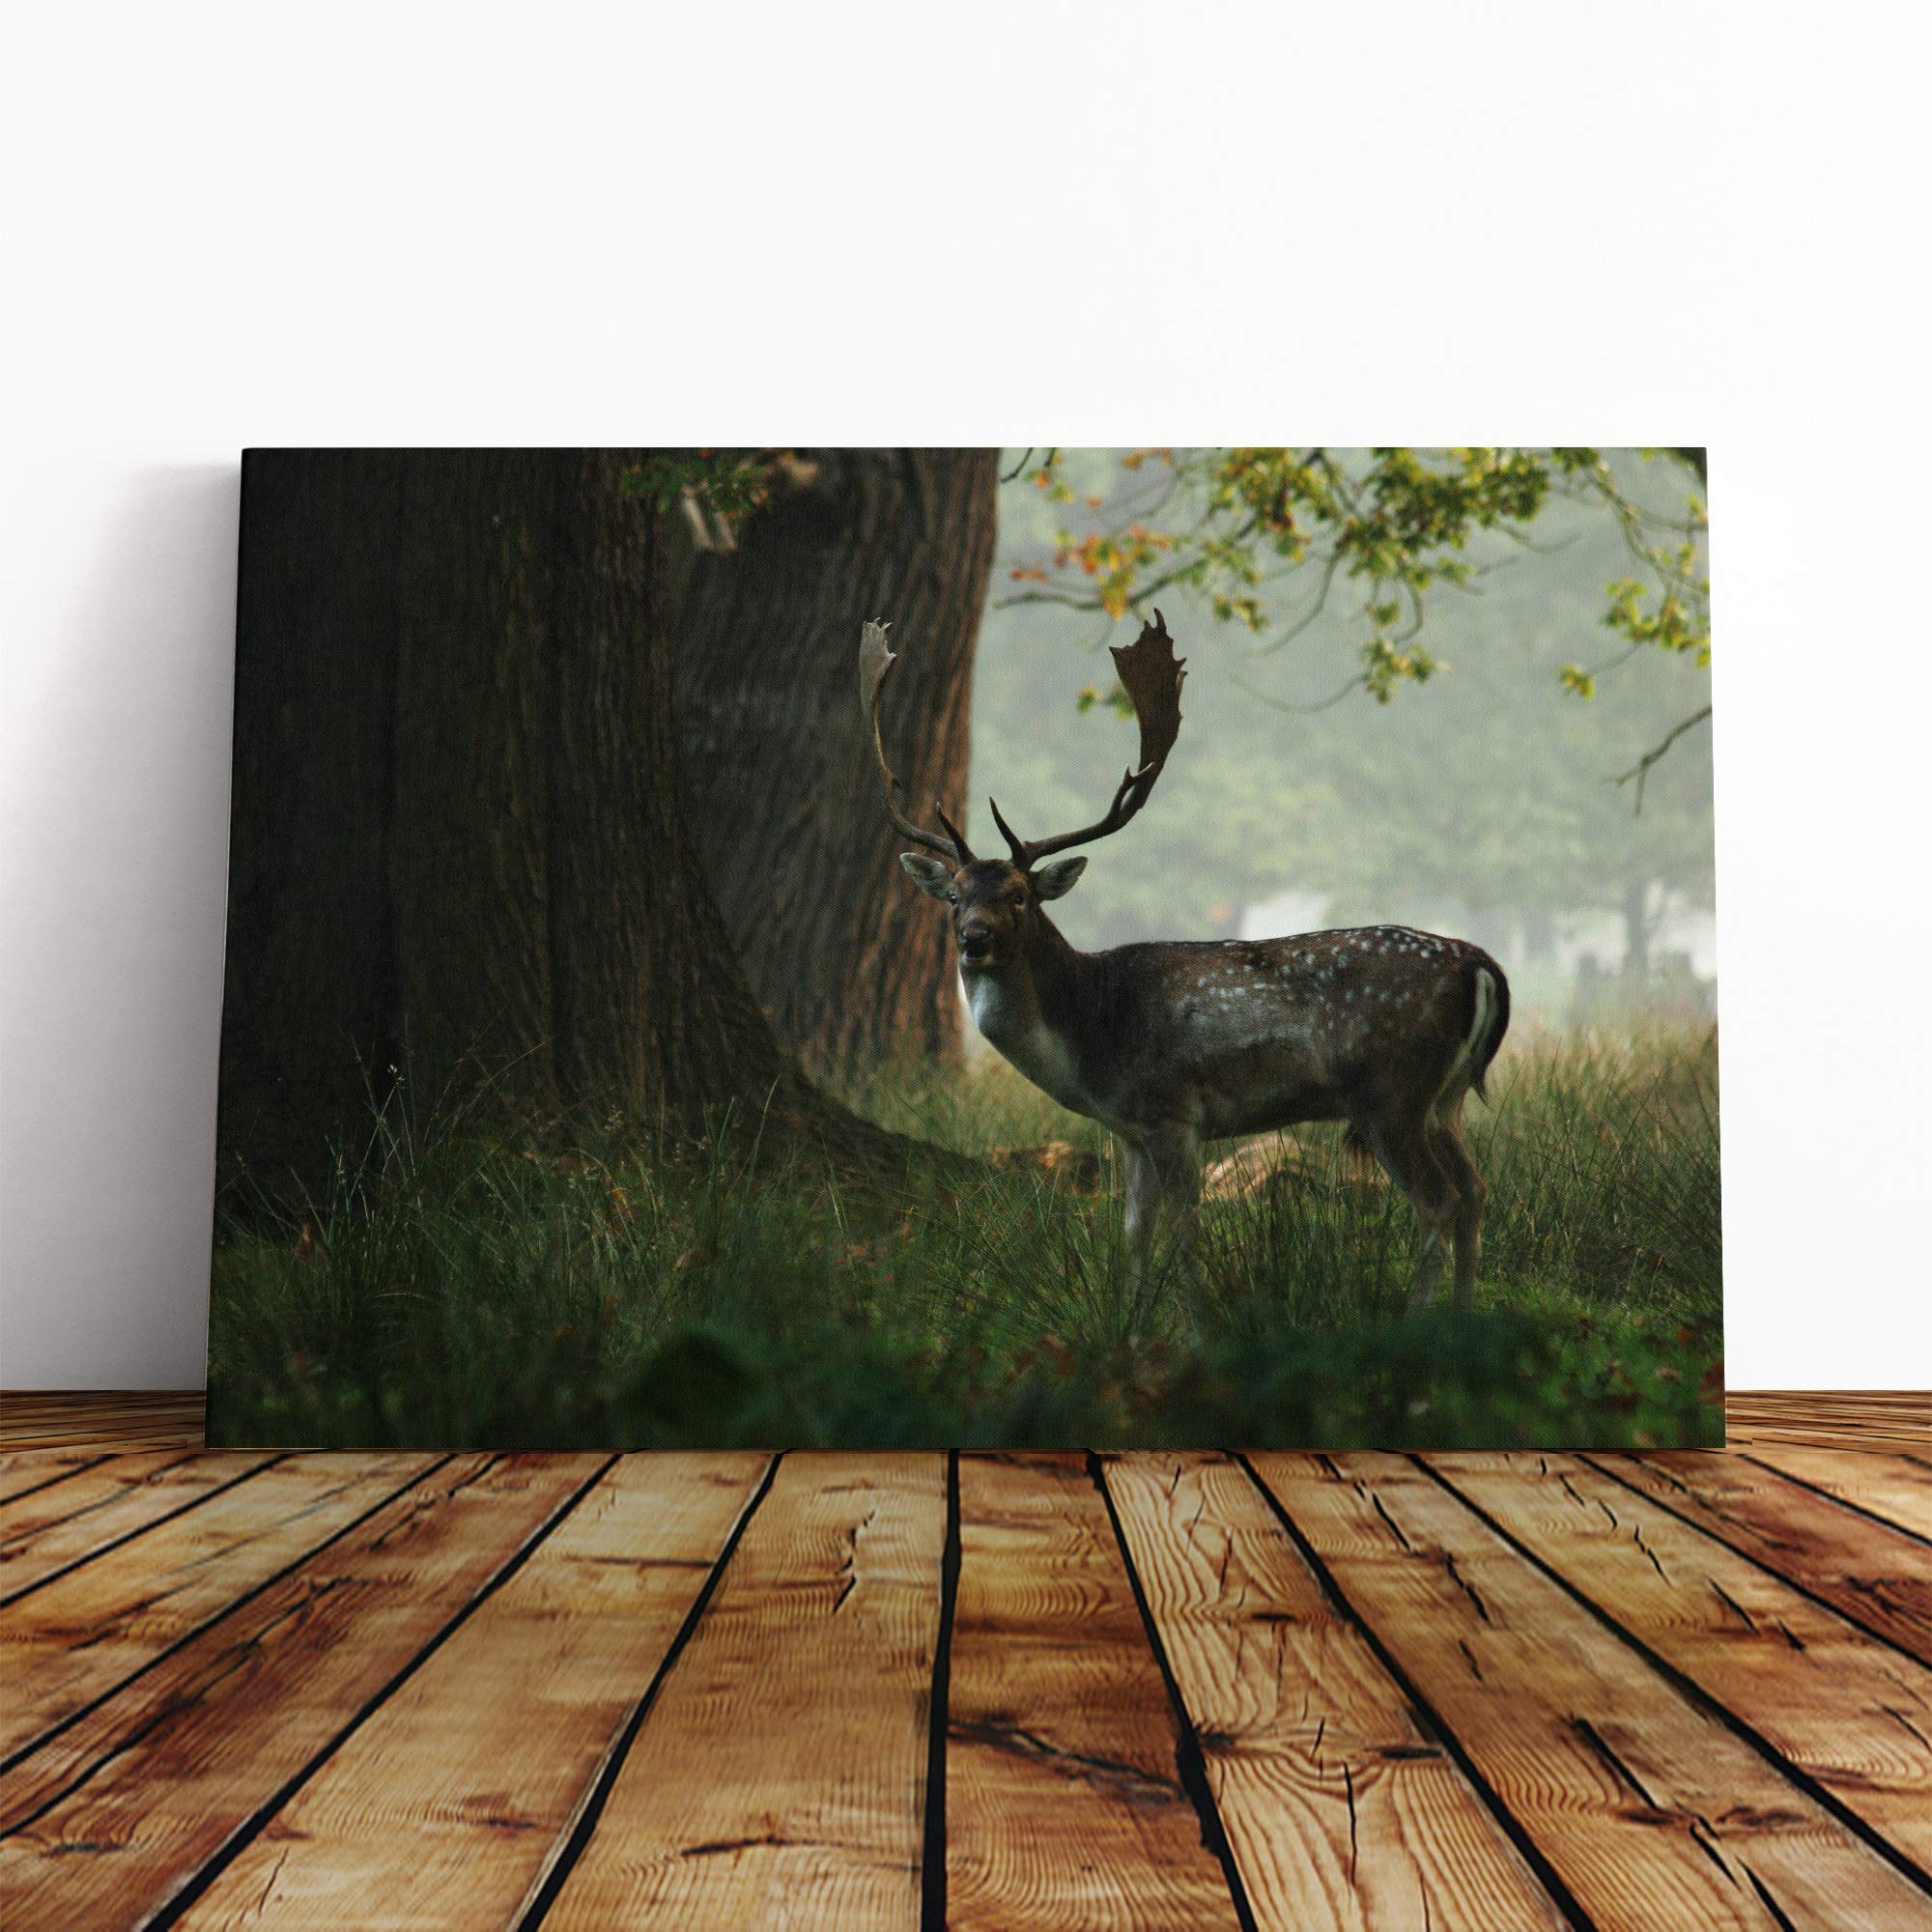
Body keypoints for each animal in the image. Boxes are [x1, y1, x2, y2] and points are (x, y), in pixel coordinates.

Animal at [861, 610, 1512, 1319]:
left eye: (1019, 896)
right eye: (953, 897)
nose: (974, 939)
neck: (1089, 1031)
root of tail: (1479, 962)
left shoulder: (1172, 1110)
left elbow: (1185, 1232)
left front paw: (1194, 1326)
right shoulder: (1129, 1129)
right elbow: (1135, 1232)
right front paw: (1131, 1322)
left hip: (1390, 1090)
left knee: (1438, 1200)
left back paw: (1418, 1320)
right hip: (1444, 1095)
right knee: (1476, 1190)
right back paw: (1461, 1317)